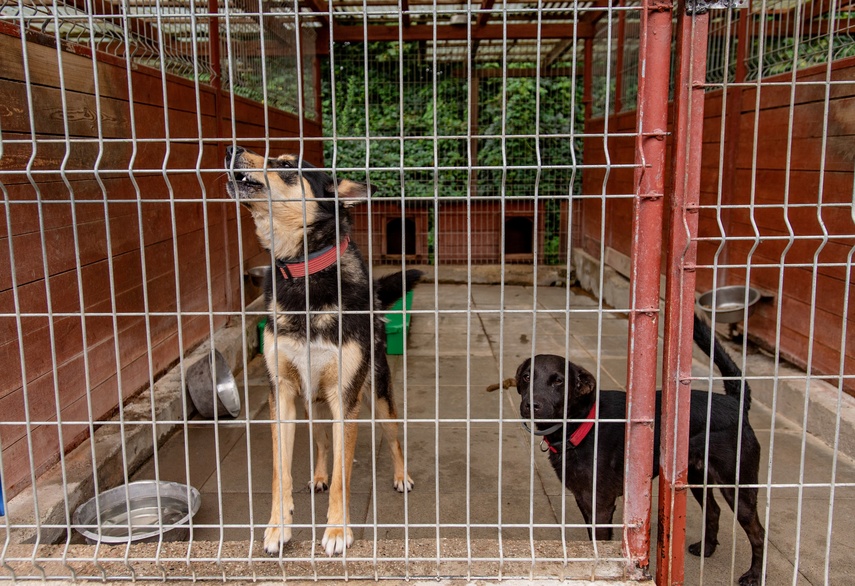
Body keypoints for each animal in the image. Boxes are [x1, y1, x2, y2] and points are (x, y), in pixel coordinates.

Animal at [224, 146, 418, 552]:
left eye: (285, 165)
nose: (232, 149)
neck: (305, 272)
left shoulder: (346, 398)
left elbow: (345, 476)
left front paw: (337, 531)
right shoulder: (280, 394)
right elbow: (280, 472)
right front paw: (278, 527)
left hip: (378, 395)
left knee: (393, 439)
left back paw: (400, 476)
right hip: (311, 407)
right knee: (323, 445)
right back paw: (318, 476)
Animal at [502, 314, 764, 584]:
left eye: (559, 381)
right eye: (527, 377)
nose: (531, 405)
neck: (582, 424)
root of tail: (736, 403)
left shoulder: (601, 505)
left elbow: (599, 544)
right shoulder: (583, 498)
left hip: (738, 485)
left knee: (757, 532)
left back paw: (754, 575)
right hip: (693, 476)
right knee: (714, 510)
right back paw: (707, 549)